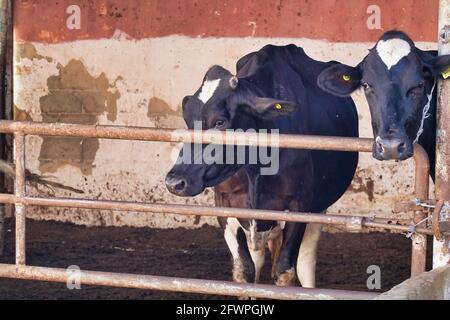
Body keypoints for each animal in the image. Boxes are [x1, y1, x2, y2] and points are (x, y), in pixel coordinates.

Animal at [165, 45, 358, 290]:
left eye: (220, 122)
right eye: (189, 121)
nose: (174, 182)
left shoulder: (300, 205)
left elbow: (284, 271)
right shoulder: (225, 204)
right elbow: (244, 271)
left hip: (319, 208)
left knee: (305, 262)